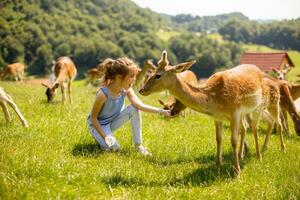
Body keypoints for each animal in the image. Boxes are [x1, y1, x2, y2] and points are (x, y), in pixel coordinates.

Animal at [139, 50, 282, 177]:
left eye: (158, 75)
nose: (141, 90)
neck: (213, 98)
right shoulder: (217, 117)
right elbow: (218, 139)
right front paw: (218, 169)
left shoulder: (234, 112)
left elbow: (233, 140)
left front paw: (237, 173)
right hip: (245, 112)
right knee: (246, 128)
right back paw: (241, 156)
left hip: (260, 105)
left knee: (255, 127)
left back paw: (259, 156)